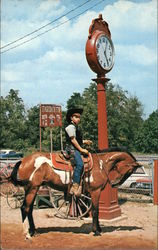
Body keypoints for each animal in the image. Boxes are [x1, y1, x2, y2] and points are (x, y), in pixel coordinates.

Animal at [9, 148, 139, 238]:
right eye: (130, 171)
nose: (115, 183)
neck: (101, 163)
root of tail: (23, 161)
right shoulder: (95, 191)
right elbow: (95, 210)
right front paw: (96, 231)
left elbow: (95, 210)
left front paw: (98, 229)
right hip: (32, 188)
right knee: (25, 208)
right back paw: (27, 233)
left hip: (31, 189)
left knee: (29, 209)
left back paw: (33, 231)